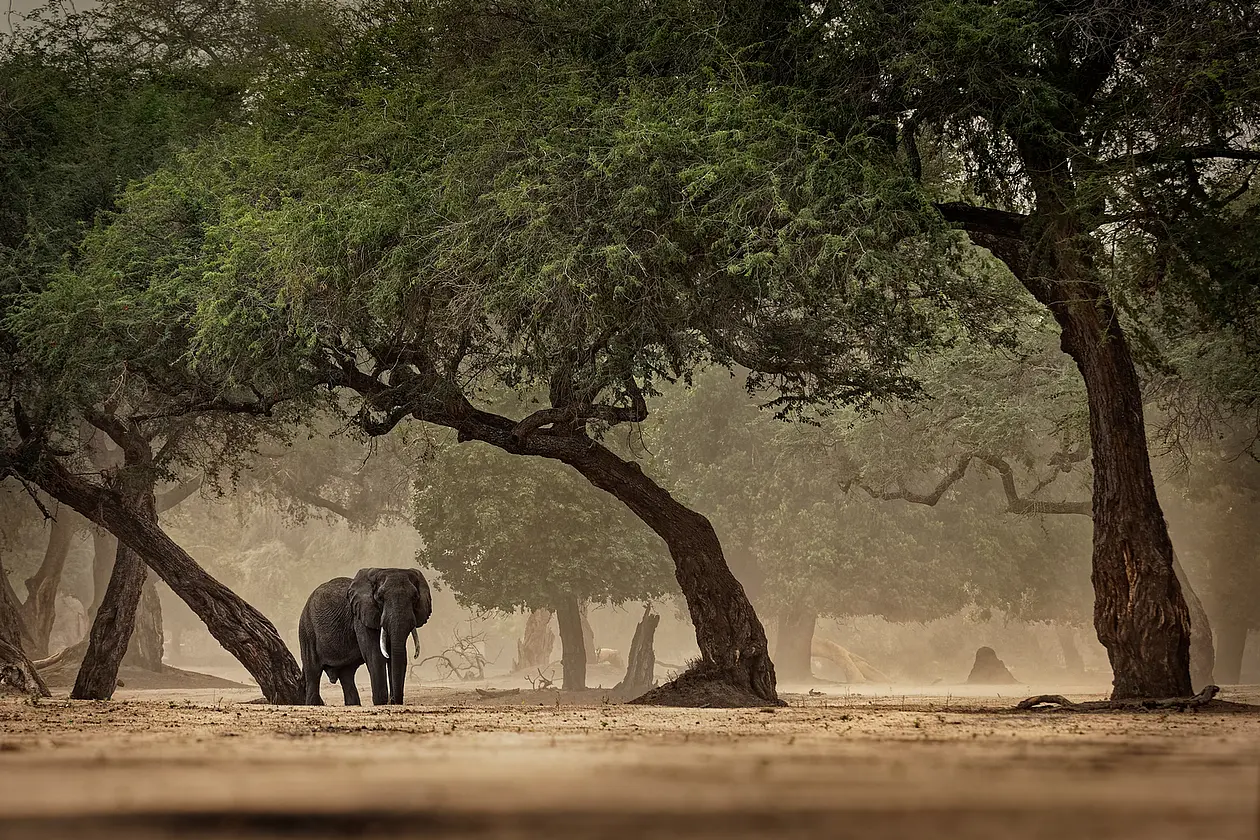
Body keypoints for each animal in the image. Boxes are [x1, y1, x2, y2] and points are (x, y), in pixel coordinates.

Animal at [298, 567, 432, 706]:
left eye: (415, 597)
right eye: (380, 597)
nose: (393, 701)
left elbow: (398, 655)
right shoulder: (361, 618)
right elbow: (375, 655)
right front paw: (381, 703)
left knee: (347, 675)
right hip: (306, 631)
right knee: (313, 672)